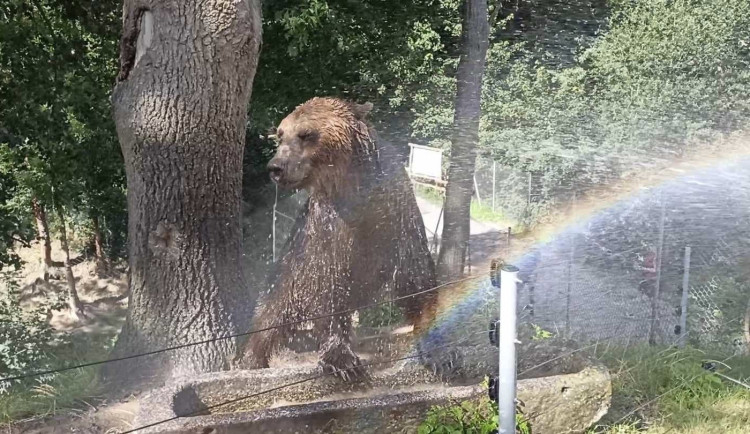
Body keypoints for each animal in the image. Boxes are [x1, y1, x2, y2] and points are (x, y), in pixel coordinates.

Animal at [241, 97, 438, 380]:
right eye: (280, 134)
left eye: (305, 134)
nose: (275, 167)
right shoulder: (328, 226)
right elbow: (330, 284)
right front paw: (343, 361)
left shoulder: (397, 212)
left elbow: (416, 275)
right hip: (288, 273)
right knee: (267, 316)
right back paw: (251, 360)